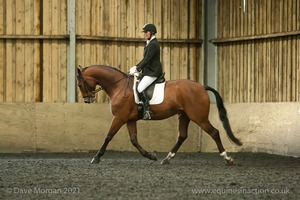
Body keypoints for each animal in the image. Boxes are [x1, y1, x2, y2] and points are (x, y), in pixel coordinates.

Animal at [76, 65, 243, 165]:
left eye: (80, 84)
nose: (87, 100)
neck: (119, 87)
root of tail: (202, 86)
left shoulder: (119, 118)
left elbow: (108, 136)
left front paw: (96, 157)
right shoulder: (130, 120)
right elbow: (134, 140)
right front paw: (151, 155)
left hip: (198, 117)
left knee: (214, 132)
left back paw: (227, 158)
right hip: (184, 115)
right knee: (182, 136)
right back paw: (167, 158)